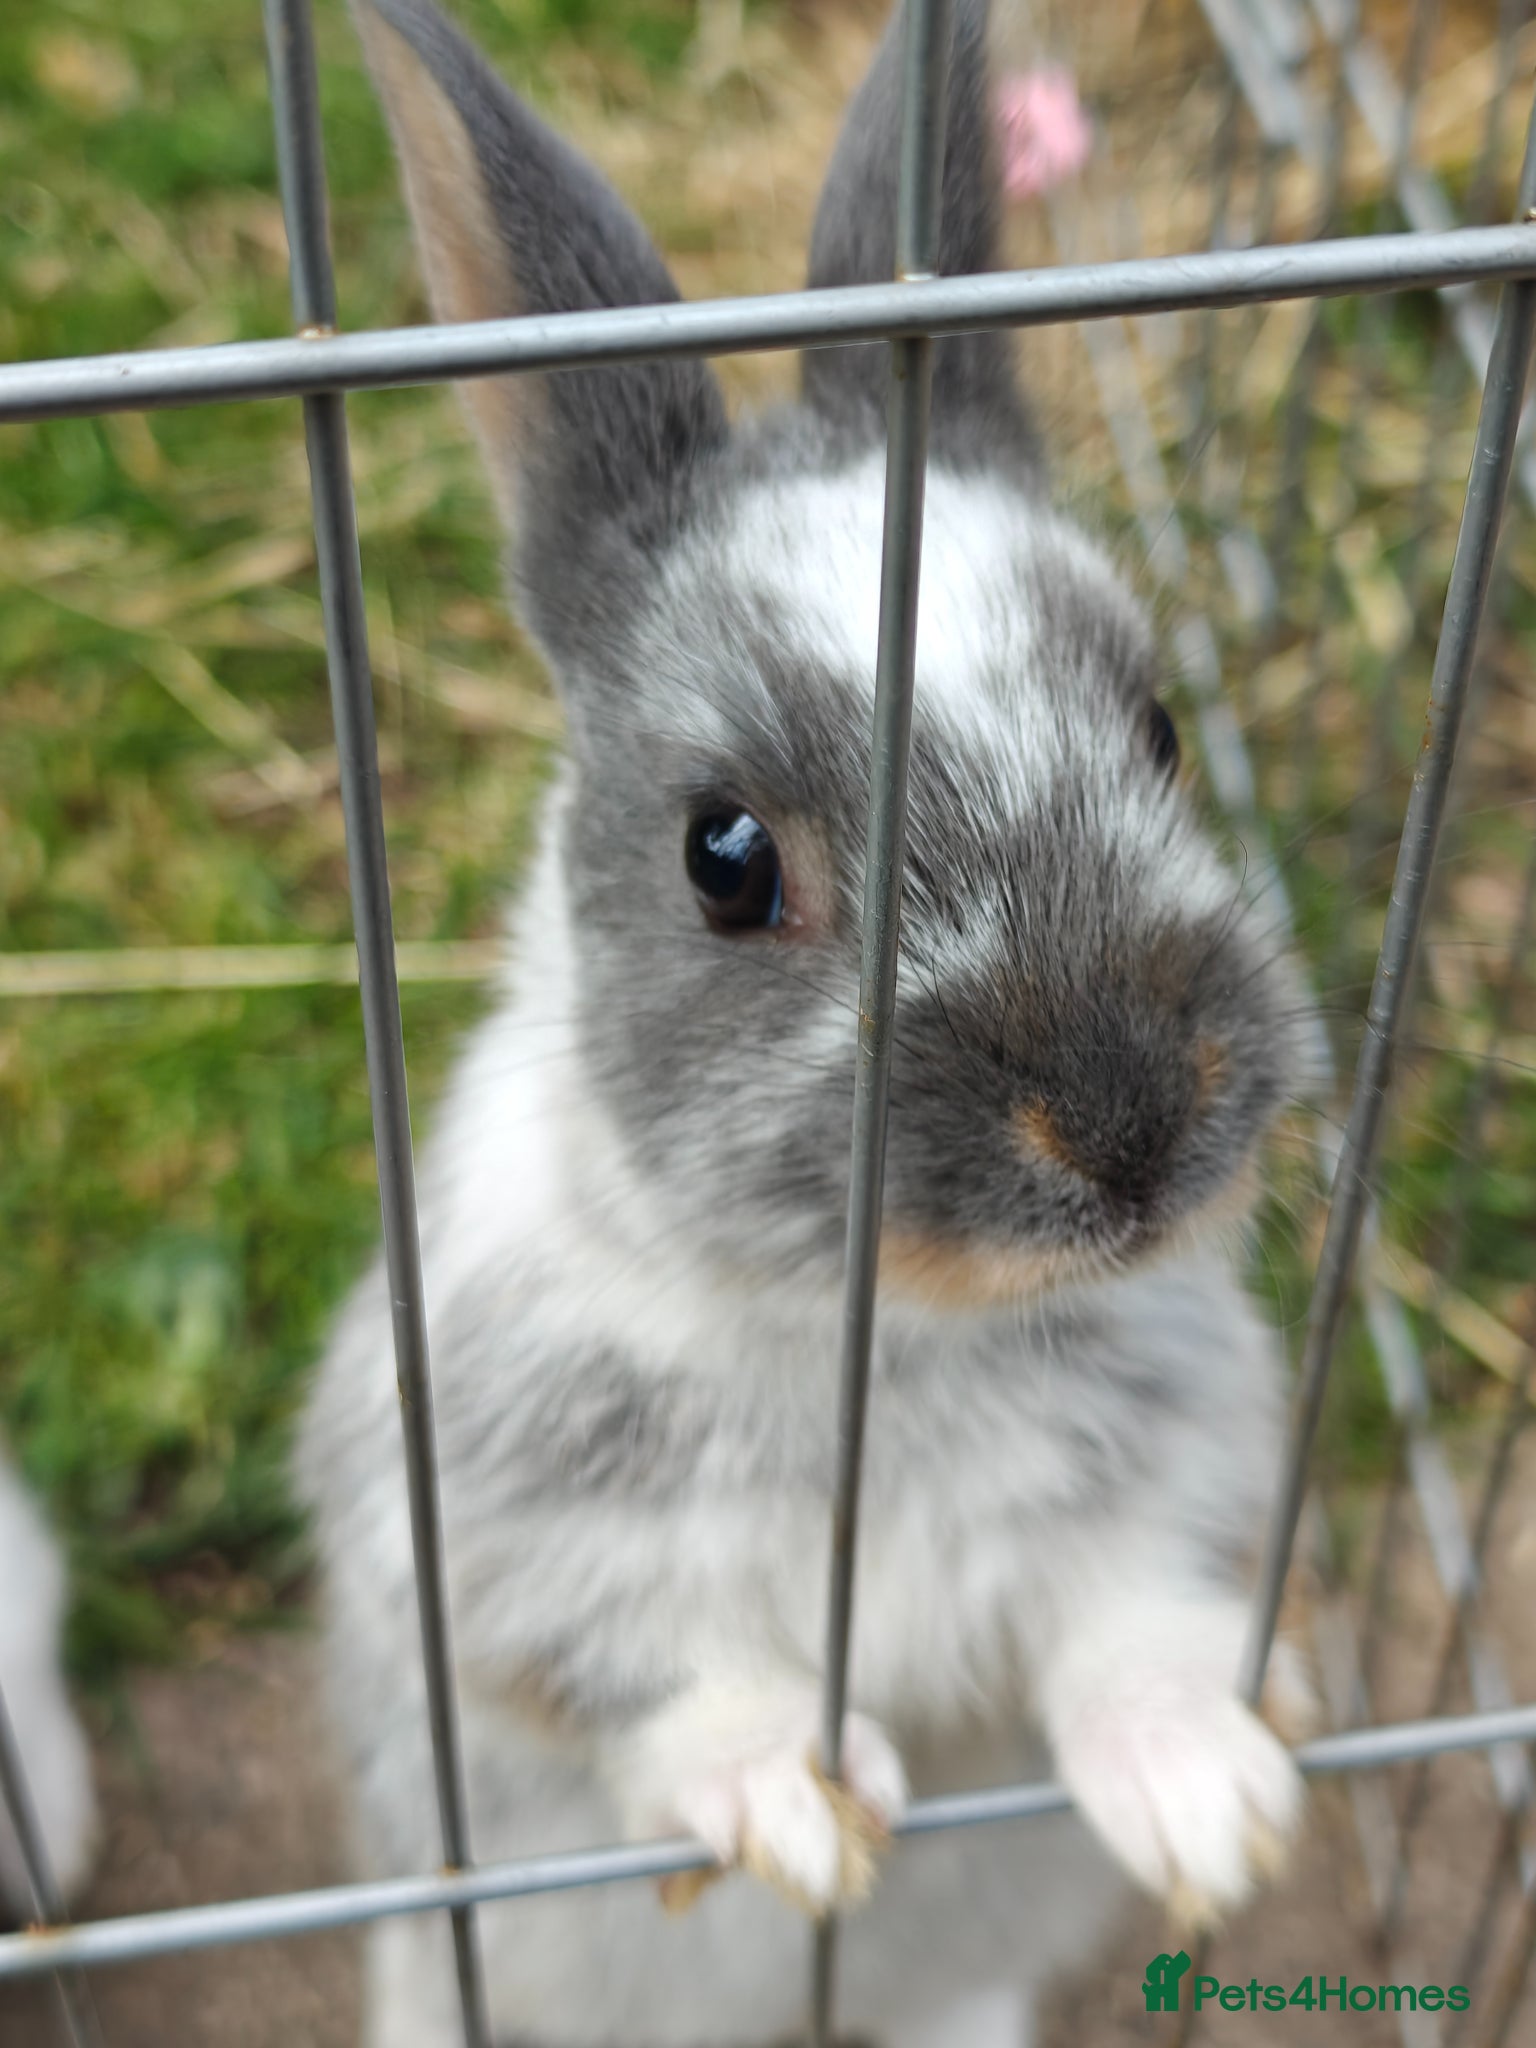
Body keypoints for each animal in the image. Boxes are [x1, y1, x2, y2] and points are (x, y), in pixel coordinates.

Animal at [299, 3, 1318, 2044]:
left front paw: (1217, 1797)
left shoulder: (1180, 1462)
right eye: (726, 855)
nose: (1133, 1128)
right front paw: (796, 1796)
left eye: (1160, 726)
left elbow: (1135, 1610)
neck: (892, 1346)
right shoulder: (483, 1542)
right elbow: (656, 1670)